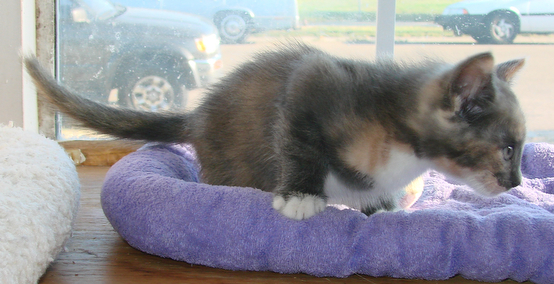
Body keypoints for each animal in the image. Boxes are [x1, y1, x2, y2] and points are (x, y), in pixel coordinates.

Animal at [25, 42, 524, 220]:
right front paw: (301, 197)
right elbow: (301, 145)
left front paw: (381, 207)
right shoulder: (311, 80)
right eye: (507, 149)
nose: (517, 182)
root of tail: (199, 116)